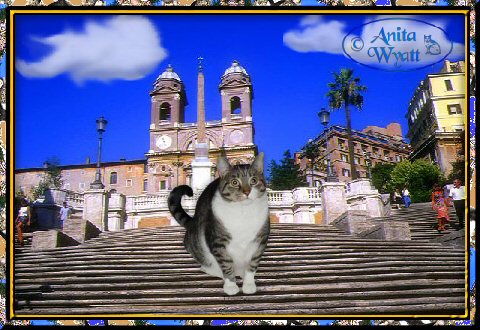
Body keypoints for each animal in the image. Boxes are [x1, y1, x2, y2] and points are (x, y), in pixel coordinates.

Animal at [168, 153, 270, 296]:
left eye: (253, 180)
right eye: (234, 182)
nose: (247, 191)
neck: (243, 211)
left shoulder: (260, 240)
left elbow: (253, 263)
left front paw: (249, 284)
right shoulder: (218, 241)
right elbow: (226, 264)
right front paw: (231, 286)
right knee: (206, 265)